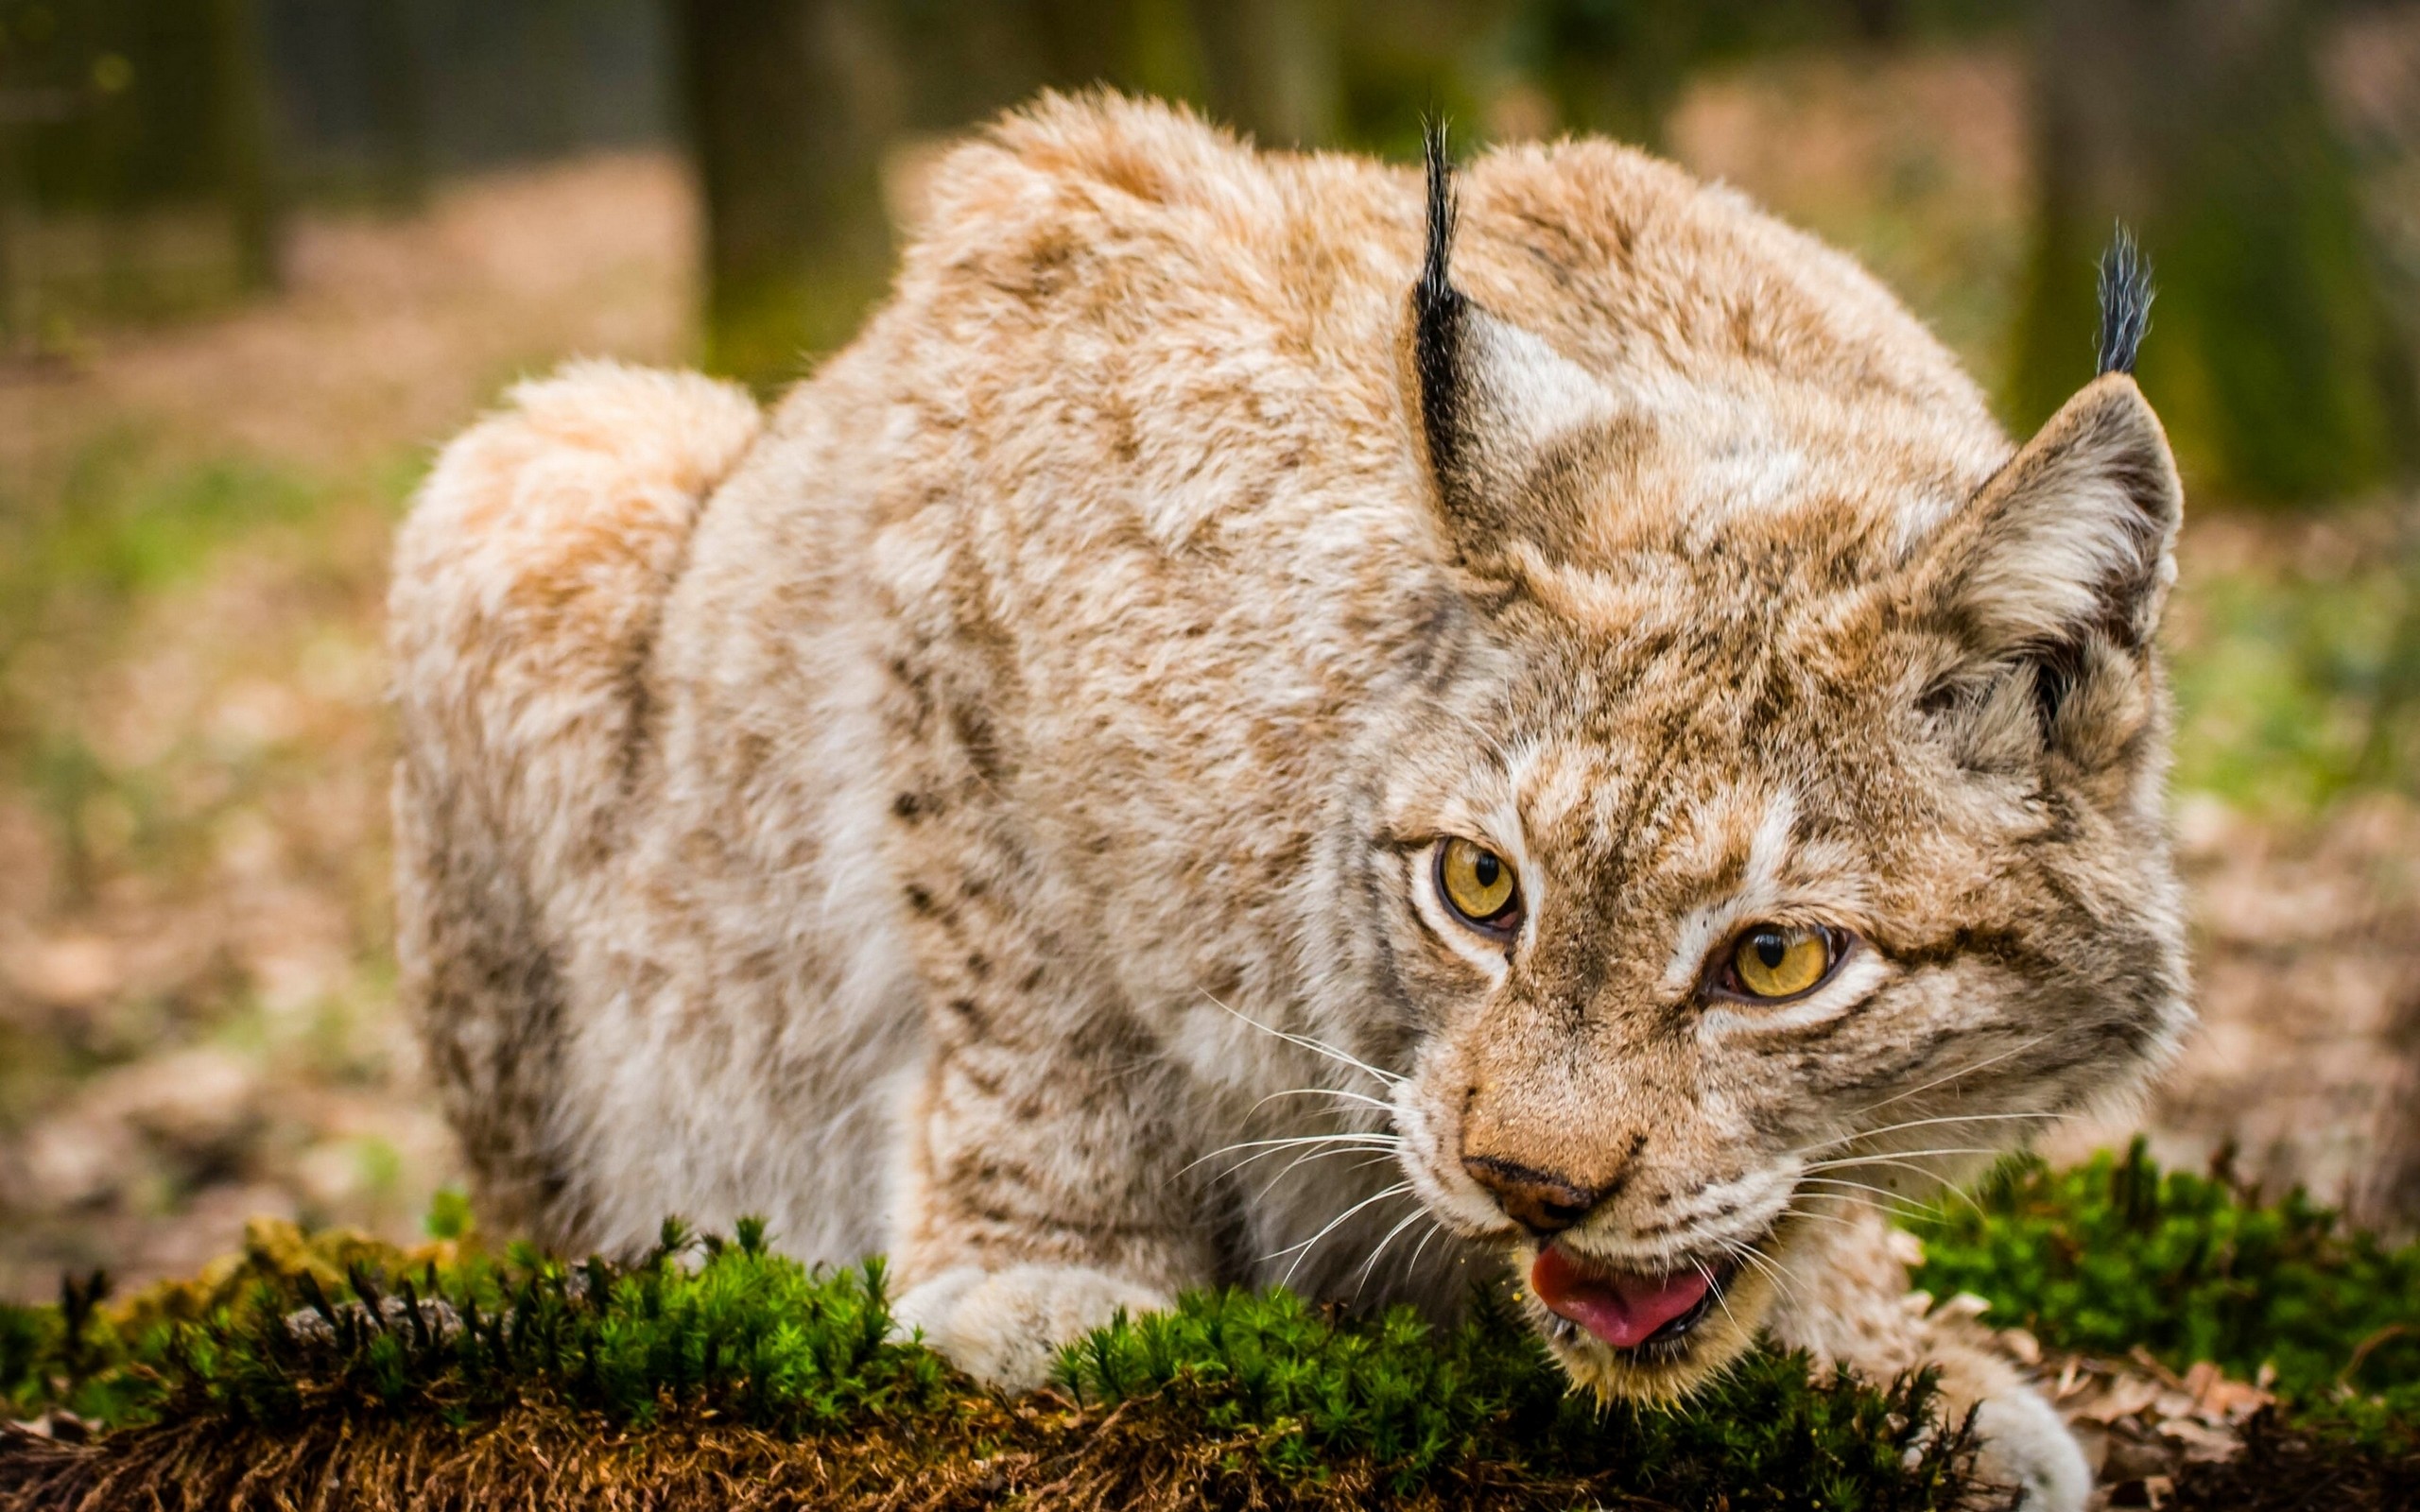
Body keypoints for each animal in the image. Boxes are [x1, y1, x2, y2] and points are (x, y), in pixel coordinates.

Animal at [387, 91, 2187, 1500]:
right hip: (552, 456)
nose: (1528, 1186)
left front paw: (1875, 1354)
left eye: (1780, 961)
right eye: (1479, 888)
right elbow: (1023, 976)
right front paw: (1050, 1276)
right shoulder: (1014, 320)